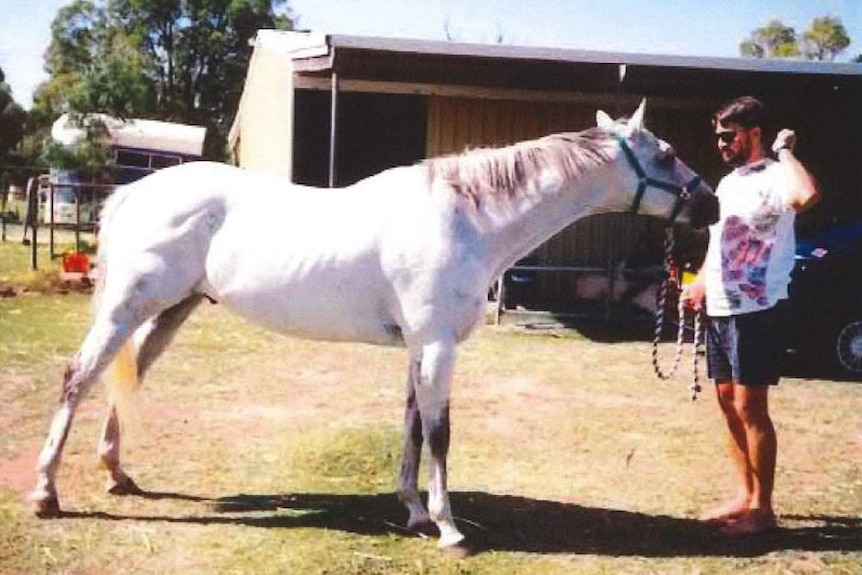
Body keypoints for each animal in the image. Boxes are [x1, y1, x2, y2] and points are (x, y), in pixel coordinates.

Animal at [30, 102, 720, 552]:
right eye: (667, 154)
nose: (710, 204)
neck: (468, 218)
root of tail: (133, 192)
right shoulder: (438, 346)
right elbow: (440, 434)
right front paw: (448, 527)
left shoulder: (420, 347)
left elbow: (412, 425)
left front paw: (413, 510)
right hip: (127, 307)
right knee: (77, 378)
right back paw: (46, 494)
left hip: (170, 311)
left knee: (127, 378)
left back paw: (117, 474)